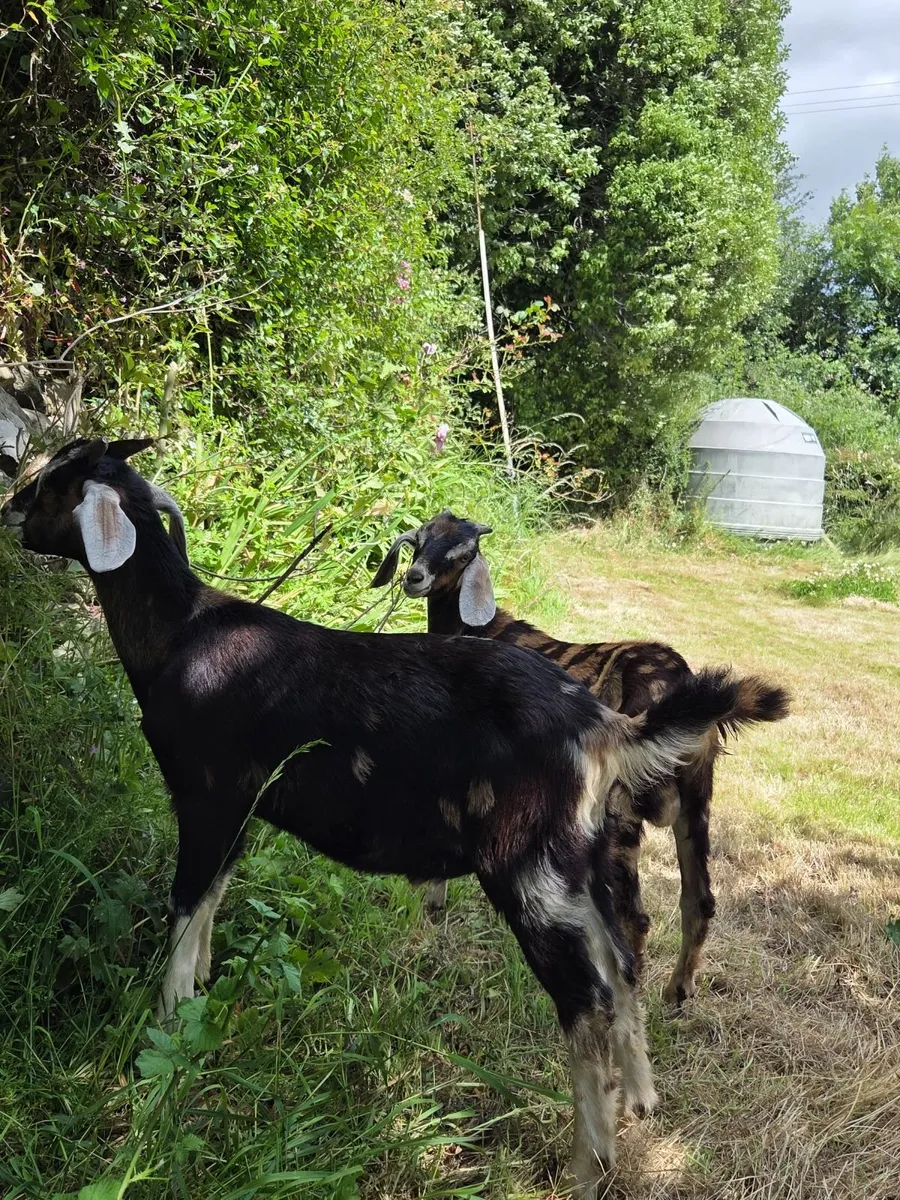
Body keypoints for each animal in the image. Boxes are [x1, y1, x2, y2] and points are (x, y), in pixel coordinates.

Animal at [372, 510, 790, 1005]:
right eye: (419, 540)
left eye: (464, 554)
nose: (414, 577)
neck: (475, 629)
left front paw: (432, 900)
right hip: (696, 798)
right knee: (699, 900)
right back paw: (677, 991)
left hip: (622, 807)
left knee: (636, 918)